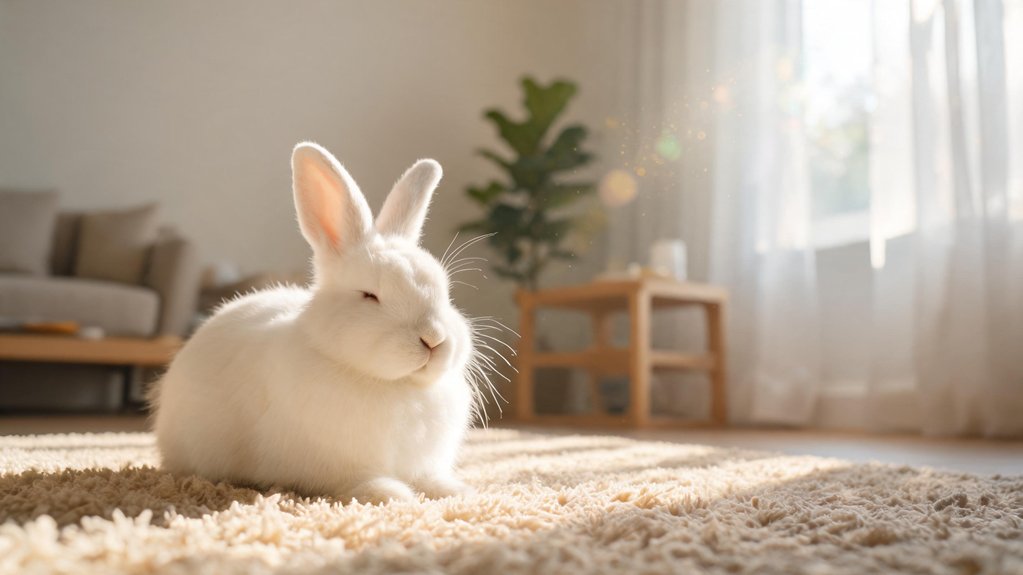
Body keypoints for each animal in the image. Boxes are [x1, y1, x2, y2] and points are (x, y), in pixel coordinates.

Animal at [152, 142, 494, 504]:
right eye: (370, 295)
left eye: (446, 293)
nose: (433, 338)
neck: (394, 385)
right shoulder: (334, 469)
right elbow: (359, 482)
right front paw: (393, 495)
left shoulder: (422, 464)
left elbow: (431, 479)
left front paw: (459, 492)